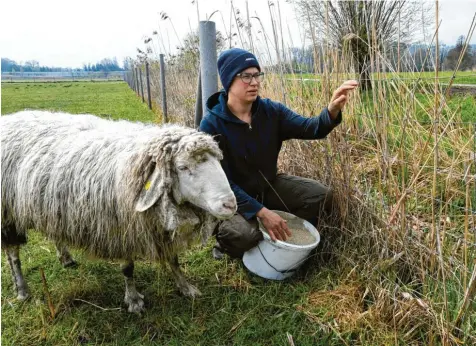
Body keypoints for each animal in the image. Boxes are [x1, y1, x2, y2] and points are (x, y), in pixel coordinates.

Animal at [0, 111, 237, 314]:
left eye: (218, 162)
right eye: (183, 168)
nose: (231, 205)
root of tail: (11, 117)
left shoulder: (159, 229)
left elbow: (174, 260)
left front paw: (186, 287)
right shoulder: (122, 230)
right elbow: (128, 269)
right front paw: (133, 300)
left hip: (51, 207)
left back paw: (65, 258)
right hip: (7, 214)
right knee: (13, 254)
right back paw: (22, 290)